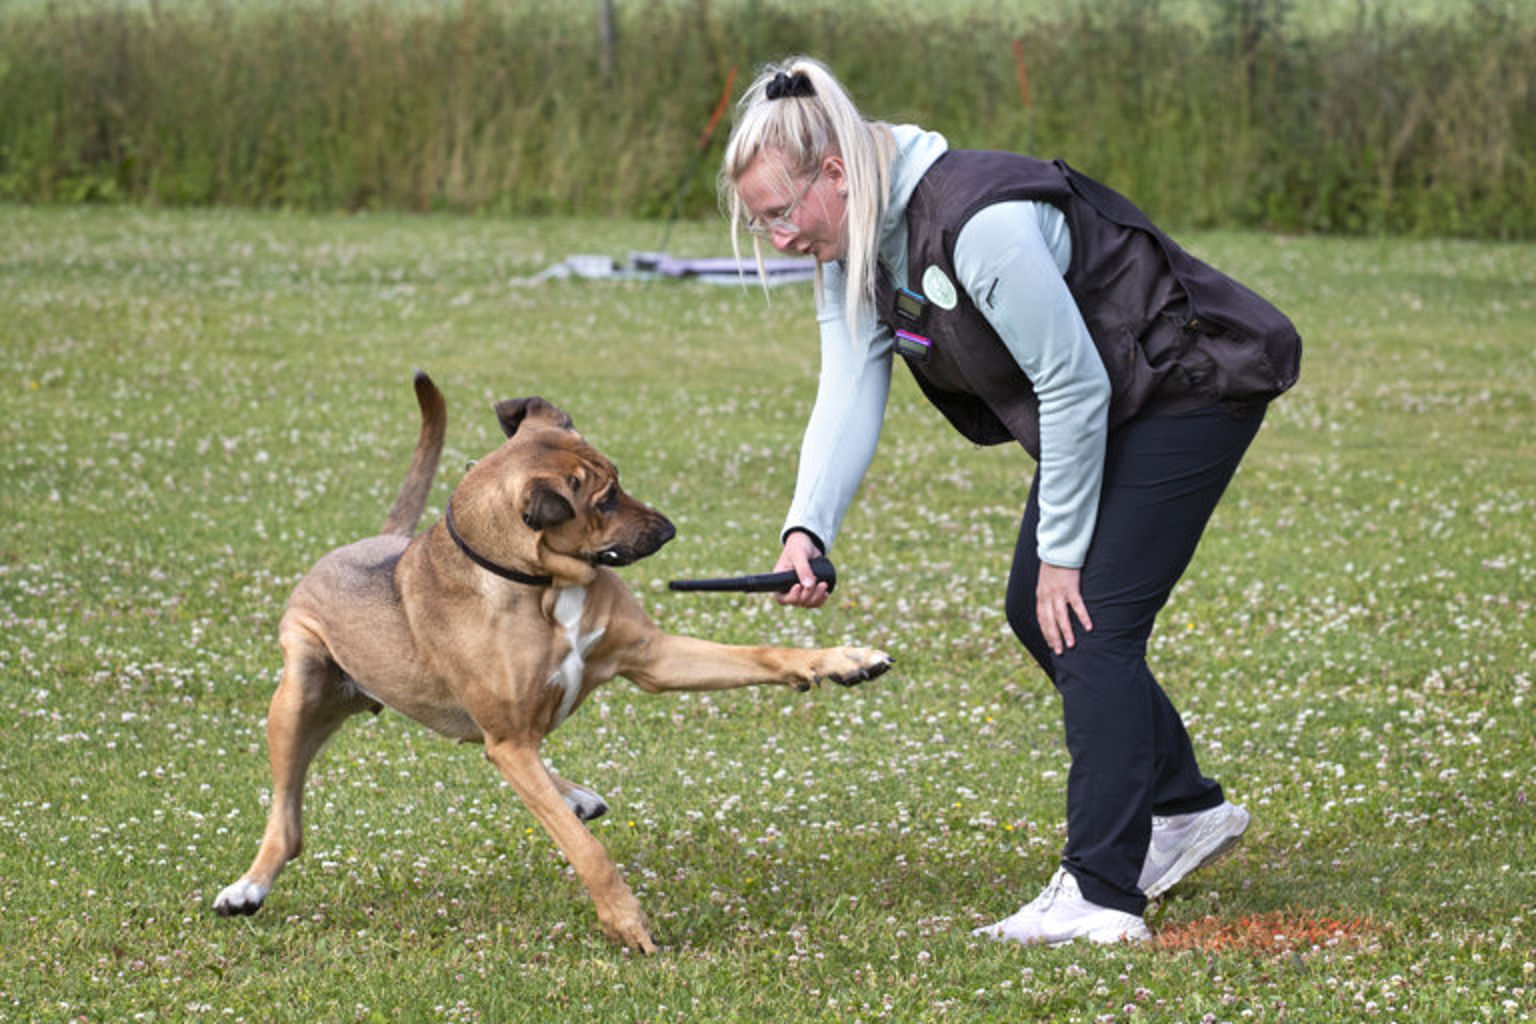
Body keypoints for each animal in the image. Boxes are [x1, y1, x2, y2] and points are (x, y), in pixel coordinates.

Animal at [210, 374, 897, 951]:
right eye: (606, 500)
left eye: (618, 479)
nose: (670, 530)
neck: (538, 582)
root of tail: (374, 541)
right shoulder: (510, 742)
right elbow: (586, 851)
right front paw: (626, 922)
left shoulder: (650, 658)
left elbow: (762, 654)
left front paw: (843, 660)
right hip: (298, 695)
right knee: (288, 823)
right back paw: (247, 887)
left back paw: (575, 794)